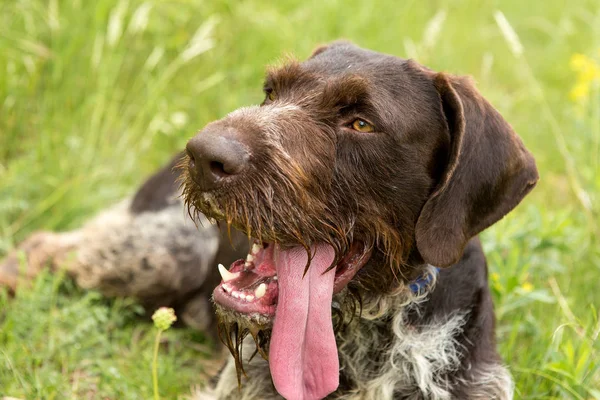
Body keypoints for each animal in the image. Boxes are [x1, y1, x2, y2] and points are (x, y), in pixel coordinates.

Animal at [0, 42, 536, 398]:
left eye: (361, 123)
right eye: (271, 91)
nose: (204, 155)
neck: (371, 331)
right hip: (162, 251)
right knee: (45, 248)